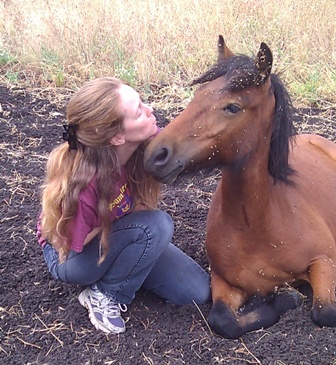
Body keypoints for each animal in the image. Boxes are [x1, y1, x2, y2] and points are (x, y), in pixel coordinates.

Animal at [144, 35, 336, 336]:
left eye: (232, 107)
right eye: (197, 96)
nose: (155, 155)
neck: (258, 227)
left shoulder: (324, 261)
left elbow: (324, 312)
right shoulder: (222, 281)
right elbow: (223, 320)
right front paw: (283, 299)